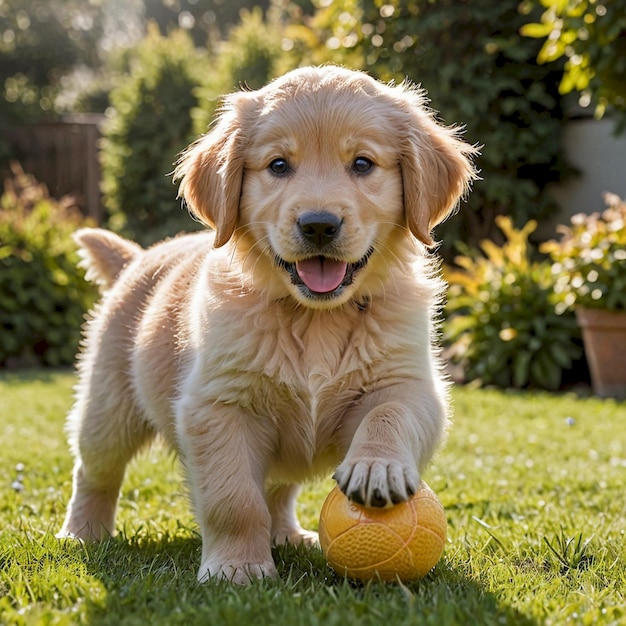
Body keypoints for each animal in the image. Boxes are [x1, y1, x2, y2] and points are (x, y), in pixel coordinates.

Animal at [59, 63, 478, 580]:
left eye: (362, 164)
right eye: (278, 166)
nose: (318, 225)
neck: (316, 317)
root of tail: (138, 257)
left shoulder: (407, 381)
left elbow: (390, 413)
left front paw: (376, 468)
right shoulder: (218, 405)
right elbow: (234, 498)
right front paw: (236, 568)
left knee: (279, 487)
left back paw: (288, 534)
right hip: (107, 407)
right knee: (94, 470)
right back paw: (83, 532)